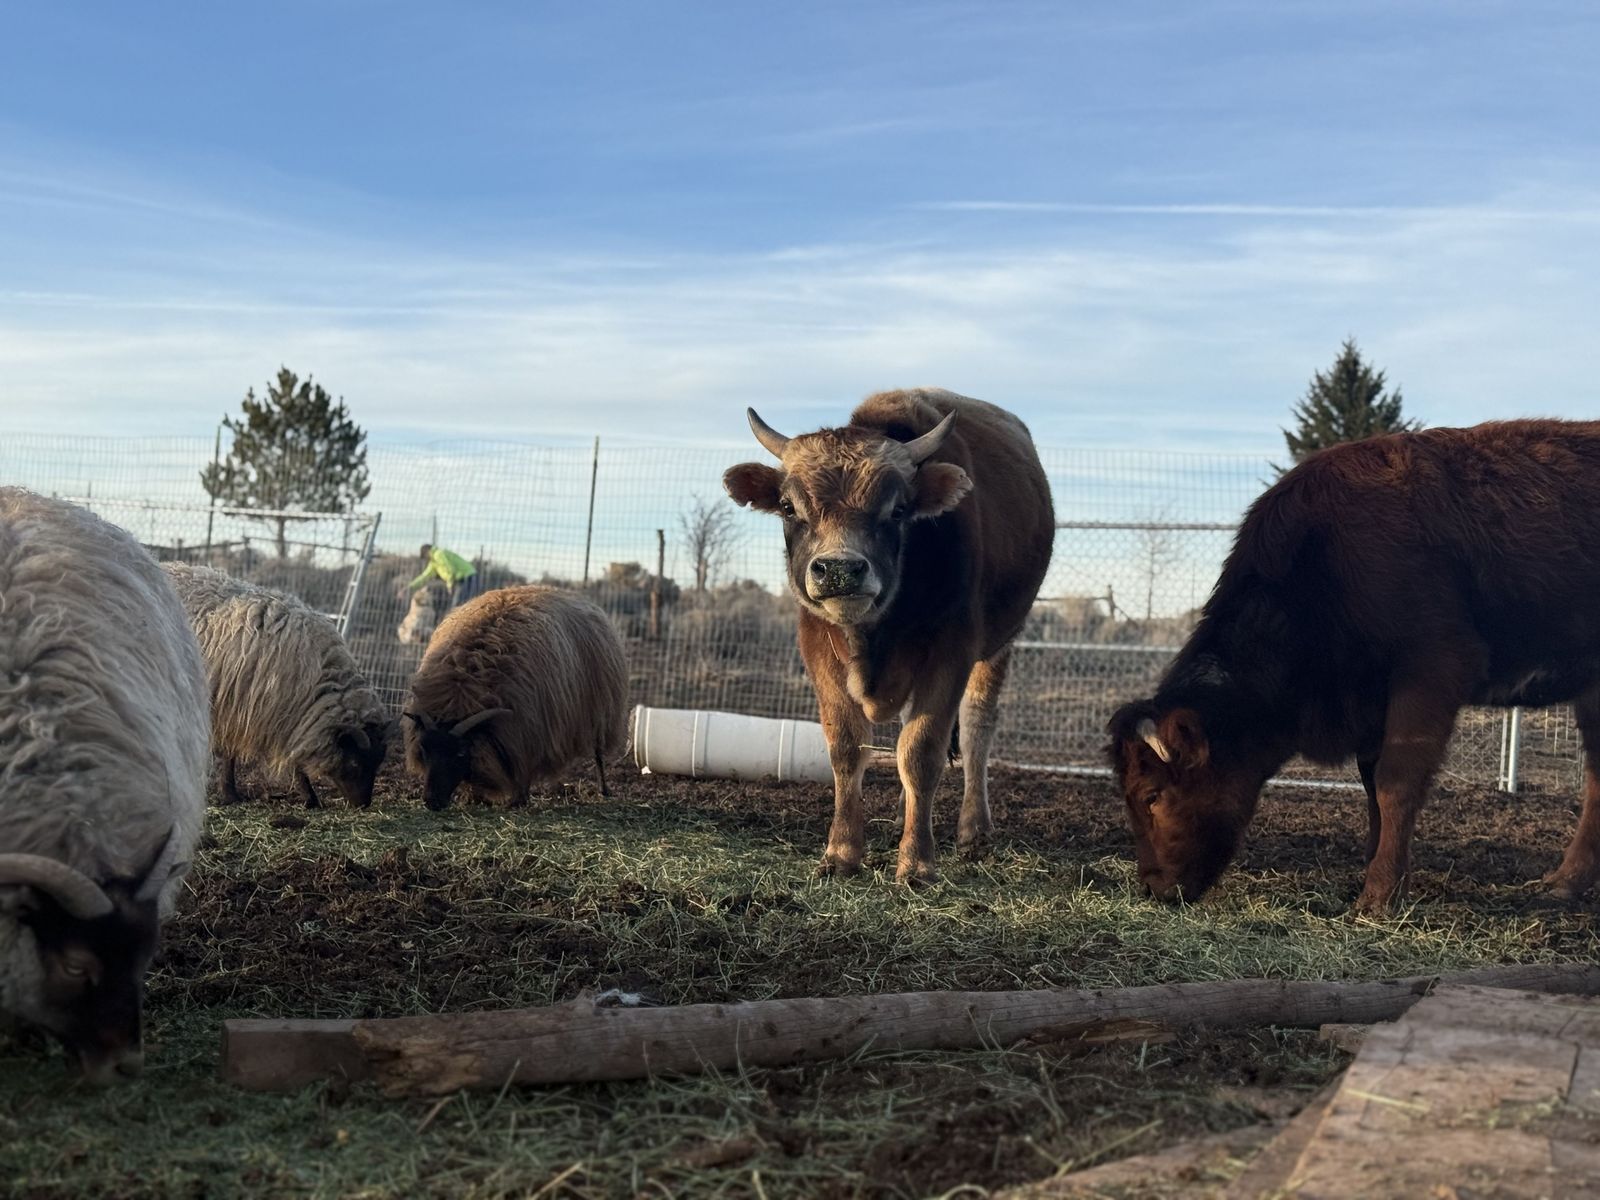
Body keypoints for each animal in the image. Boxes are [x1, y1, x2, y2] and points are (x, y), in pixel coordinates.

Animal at [724, 388, 1055, 884]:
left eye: (898, 510)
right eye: (788, 507)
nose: (839, 569)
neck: (873, 634)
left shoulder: (951, 651)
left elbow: (921, 753)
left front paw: (917, 861)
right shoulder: (818, 648)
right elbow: (847, 747)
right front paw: (842, 852)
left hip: (1001, 643)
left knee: (977, 726)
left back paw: (974, 829)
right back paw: (903, 814)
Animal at [1107, 419, 1600, 913]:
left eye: (1152, 795)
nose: (1152, 886)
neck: (1324, 558)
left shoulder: (1429, 673)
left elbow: (1395, 784)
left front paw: (1378, 896)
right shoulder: (1370, 706)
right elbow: (1370, 788)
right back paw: (1565, 882)